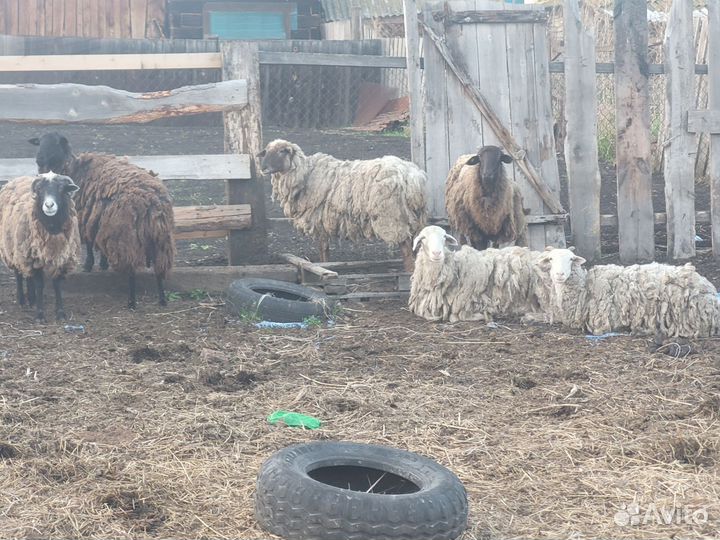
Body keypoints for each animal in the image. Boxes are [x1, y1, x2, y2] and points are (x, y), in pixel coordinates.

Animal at [0, 172, 80, 322]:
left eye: (61, 188)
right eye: (39, 190)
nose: (49, 205)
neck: (51, 227)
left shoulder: (60, 258)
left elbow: (56, 284)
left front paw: (60, 313)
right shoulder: (32, 258)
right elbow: (40, 285)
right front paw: (40, 314)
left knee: (28, 276)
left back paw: (31, 299)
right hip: (14, 250)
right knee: (18, 275)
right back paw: (22, 300)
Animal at [29, 132, 175, 309]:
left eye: (56, 143)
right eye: (39, 142)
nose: (39, 159)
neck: (72, 168)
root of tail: (151, 201)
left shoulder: (85, 217)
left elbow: (90, 243)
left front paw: (88, 265)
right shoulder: (100, 219)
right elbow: (98, 240)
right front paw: (103, 264)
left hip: (127, 238)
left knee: (132, 270)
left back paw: (132, 302)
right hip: (161, 239)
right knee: (159, 269)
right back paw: (162, 300)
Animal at [258, 139, 427, 272]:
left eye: (282, 151)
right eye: (266, 152)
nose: (263, 168)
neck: (306, 174)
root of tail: (413, 177)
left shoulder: (318, 218)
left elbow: (323, 247)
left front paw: (324, 265)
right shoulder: (322, 220)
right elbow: (324, 248)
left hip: (392, 217)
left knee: (406, 248)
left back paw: (409, 272)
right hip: (414, 216)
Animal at [408, 225, 542, 322]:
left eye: (444, 237)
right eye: (423, 238)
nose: (437, 253)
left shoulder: (464, 303)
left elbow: (457, 317)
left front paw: (484, 315)